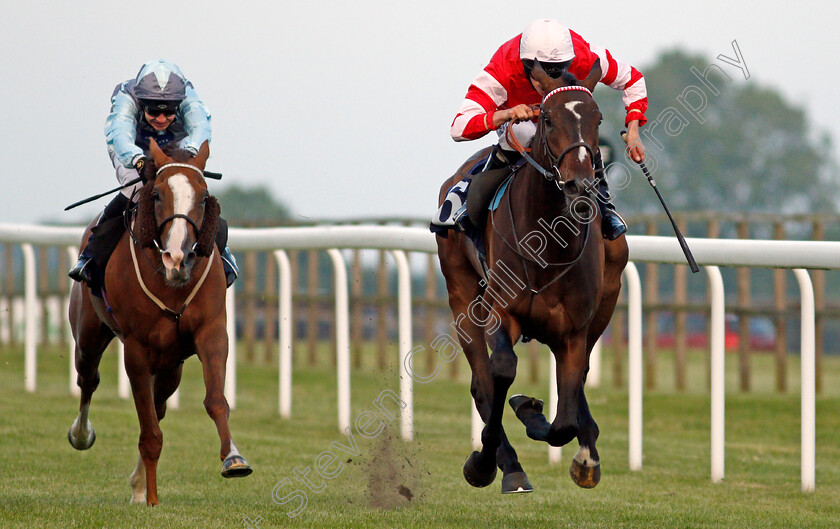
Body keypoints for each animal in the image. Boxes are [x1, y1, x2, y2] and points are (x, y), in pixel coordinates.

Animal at [67, 136, 251, 504]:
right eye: (156, 195)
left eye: (204, 195)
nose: (178, 258)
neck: (173, 285)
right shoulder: (136, 349)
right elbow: (149, 432)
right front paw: (150, 498)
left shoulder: (211, 332)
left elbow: (215, 401)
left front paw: (234, 458)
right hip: (88, 334)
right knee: (88, 379)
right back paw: (81, 436)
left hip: (171, 363)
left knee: (159, 403)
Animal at [436, 62, 628, 496]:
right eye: (547, 118)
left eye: (597, 118)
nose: (579, 185)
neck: (548, 246)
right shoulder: (501, 312)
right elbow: (502, 371)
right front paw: (487, 462)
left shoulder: (574, 331)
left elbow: (564, 418)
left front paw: (543, 418)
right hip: (461, 298)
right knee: (482, 382)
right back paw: (505, 464)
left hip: (605, 306)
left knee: (578, 385)